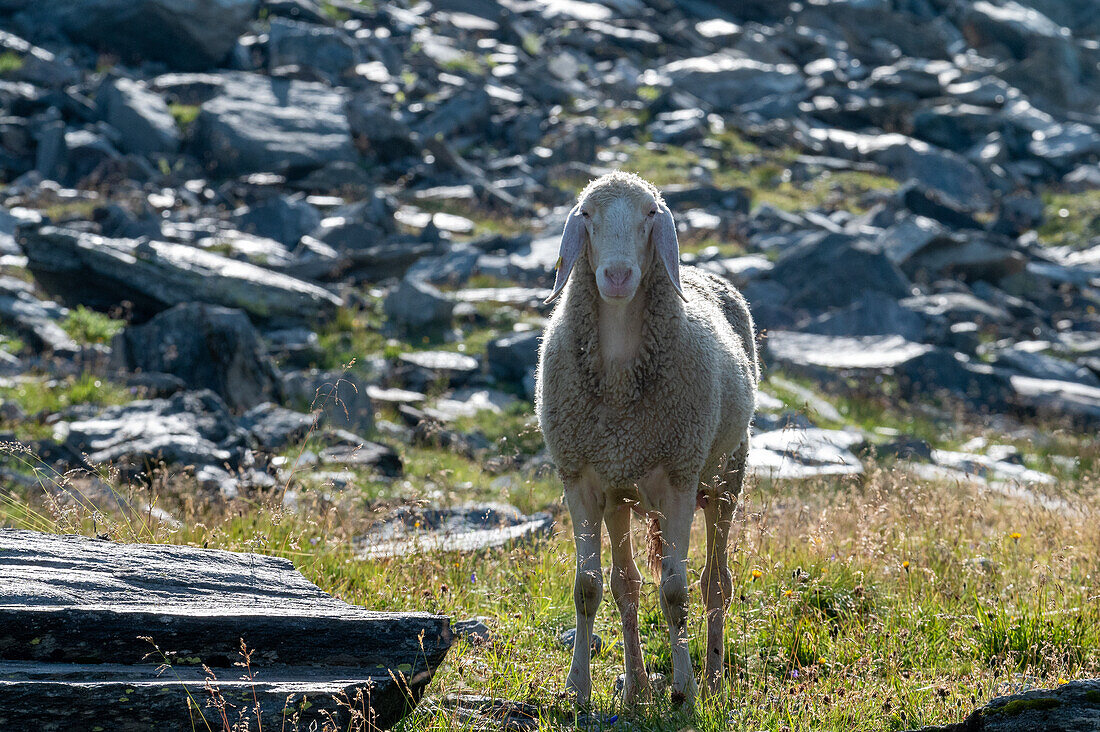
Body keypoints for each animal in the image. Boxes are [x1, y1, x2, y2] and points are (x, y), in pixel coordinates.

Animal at [532, 168, 756, 704]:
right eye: (586, 214)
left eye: (651, 214)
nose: (616, 277)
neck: (617, 375)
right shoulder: (580, 478)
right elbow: (589, 587)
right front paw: (578, 689)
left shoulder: (678, 478)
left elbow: (675, 592)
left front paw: (685, 689)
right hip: (622, 493)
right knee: (626, 585)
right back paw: (634, 687)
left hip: (724, 479)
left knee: (716, 583)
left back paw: (713, 677)